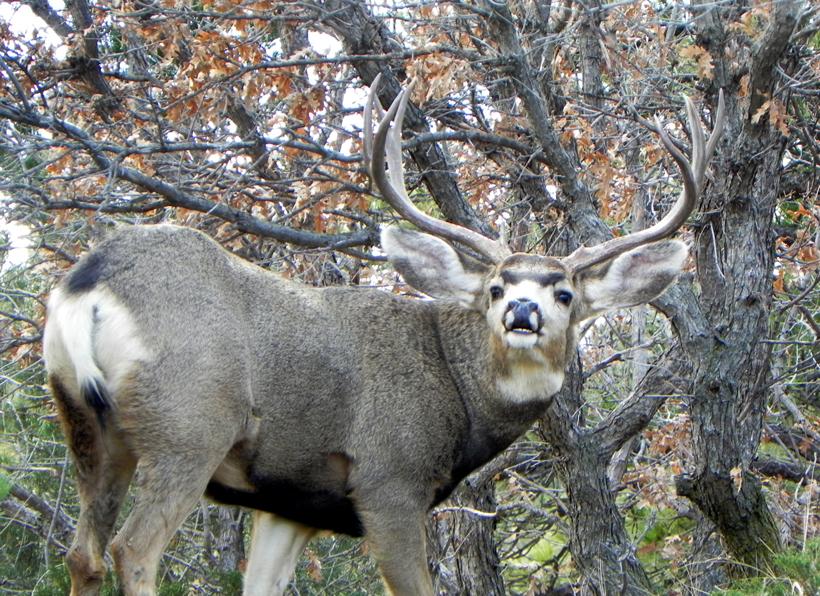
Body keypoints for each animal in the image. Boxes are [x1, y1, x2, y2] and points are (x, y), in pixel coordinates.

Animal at [42, 78, 725, 596]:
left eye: (565, 294)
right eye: (495, 288)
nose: (523, 310)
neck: (458, 393)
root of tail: (90, 282)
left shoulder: (292, 503)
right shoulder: (390, 479)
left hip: (91, 428)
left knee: (83, 553)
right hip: (191, 424)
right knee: (133, 549)